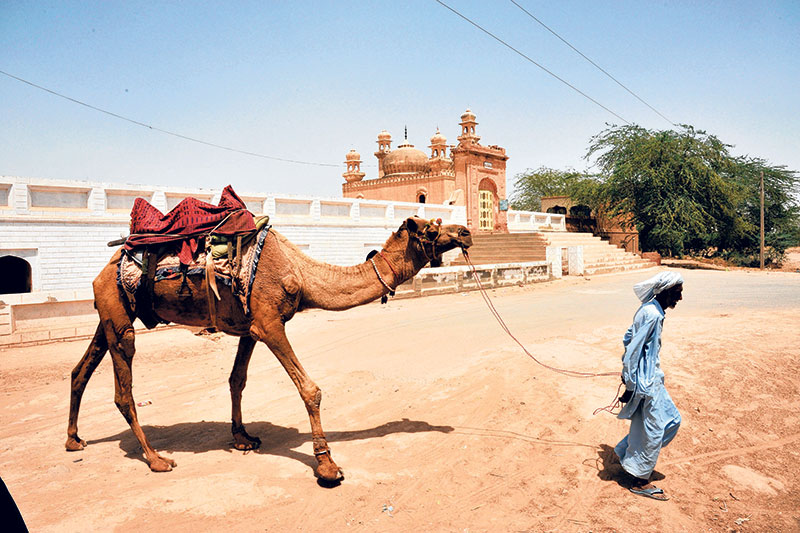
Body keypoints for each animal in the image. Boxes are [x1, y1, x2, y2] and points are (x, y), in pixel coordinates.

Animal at [67, 215, 476, 482]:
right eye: (433, 229)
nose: (467, 231)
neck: (302, 274)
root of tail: (103, 271)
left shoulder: (248, 328)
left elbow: (237, 380)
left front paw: (242, 438)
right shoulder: (270, 324)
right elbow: (310, 389)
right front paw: (327, 466)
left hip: (108, 314)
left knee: (79, 370)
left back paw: (74, 440)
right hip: (120, 319)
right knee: (123, 391)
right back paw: (156, 459)